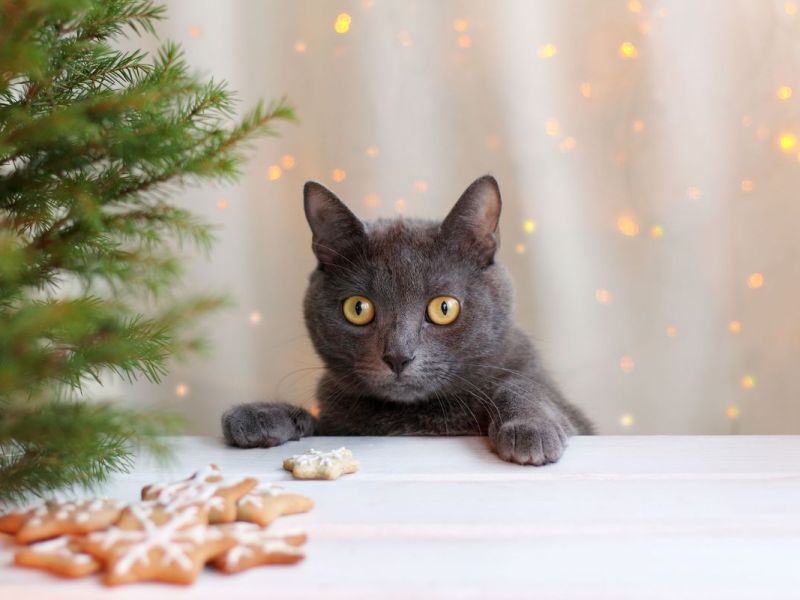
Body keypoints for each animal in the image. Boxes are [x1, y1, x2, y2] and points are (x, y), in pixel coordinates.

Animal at [222, 176, 592, 466]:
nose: (398, 356)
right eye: (358, 308)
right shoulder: (336, 422)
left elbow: (520, 386)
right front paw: (259, 415)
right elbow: (315, 422)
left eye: (444, 308)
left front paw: (530, 428)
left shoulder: (572, 414)